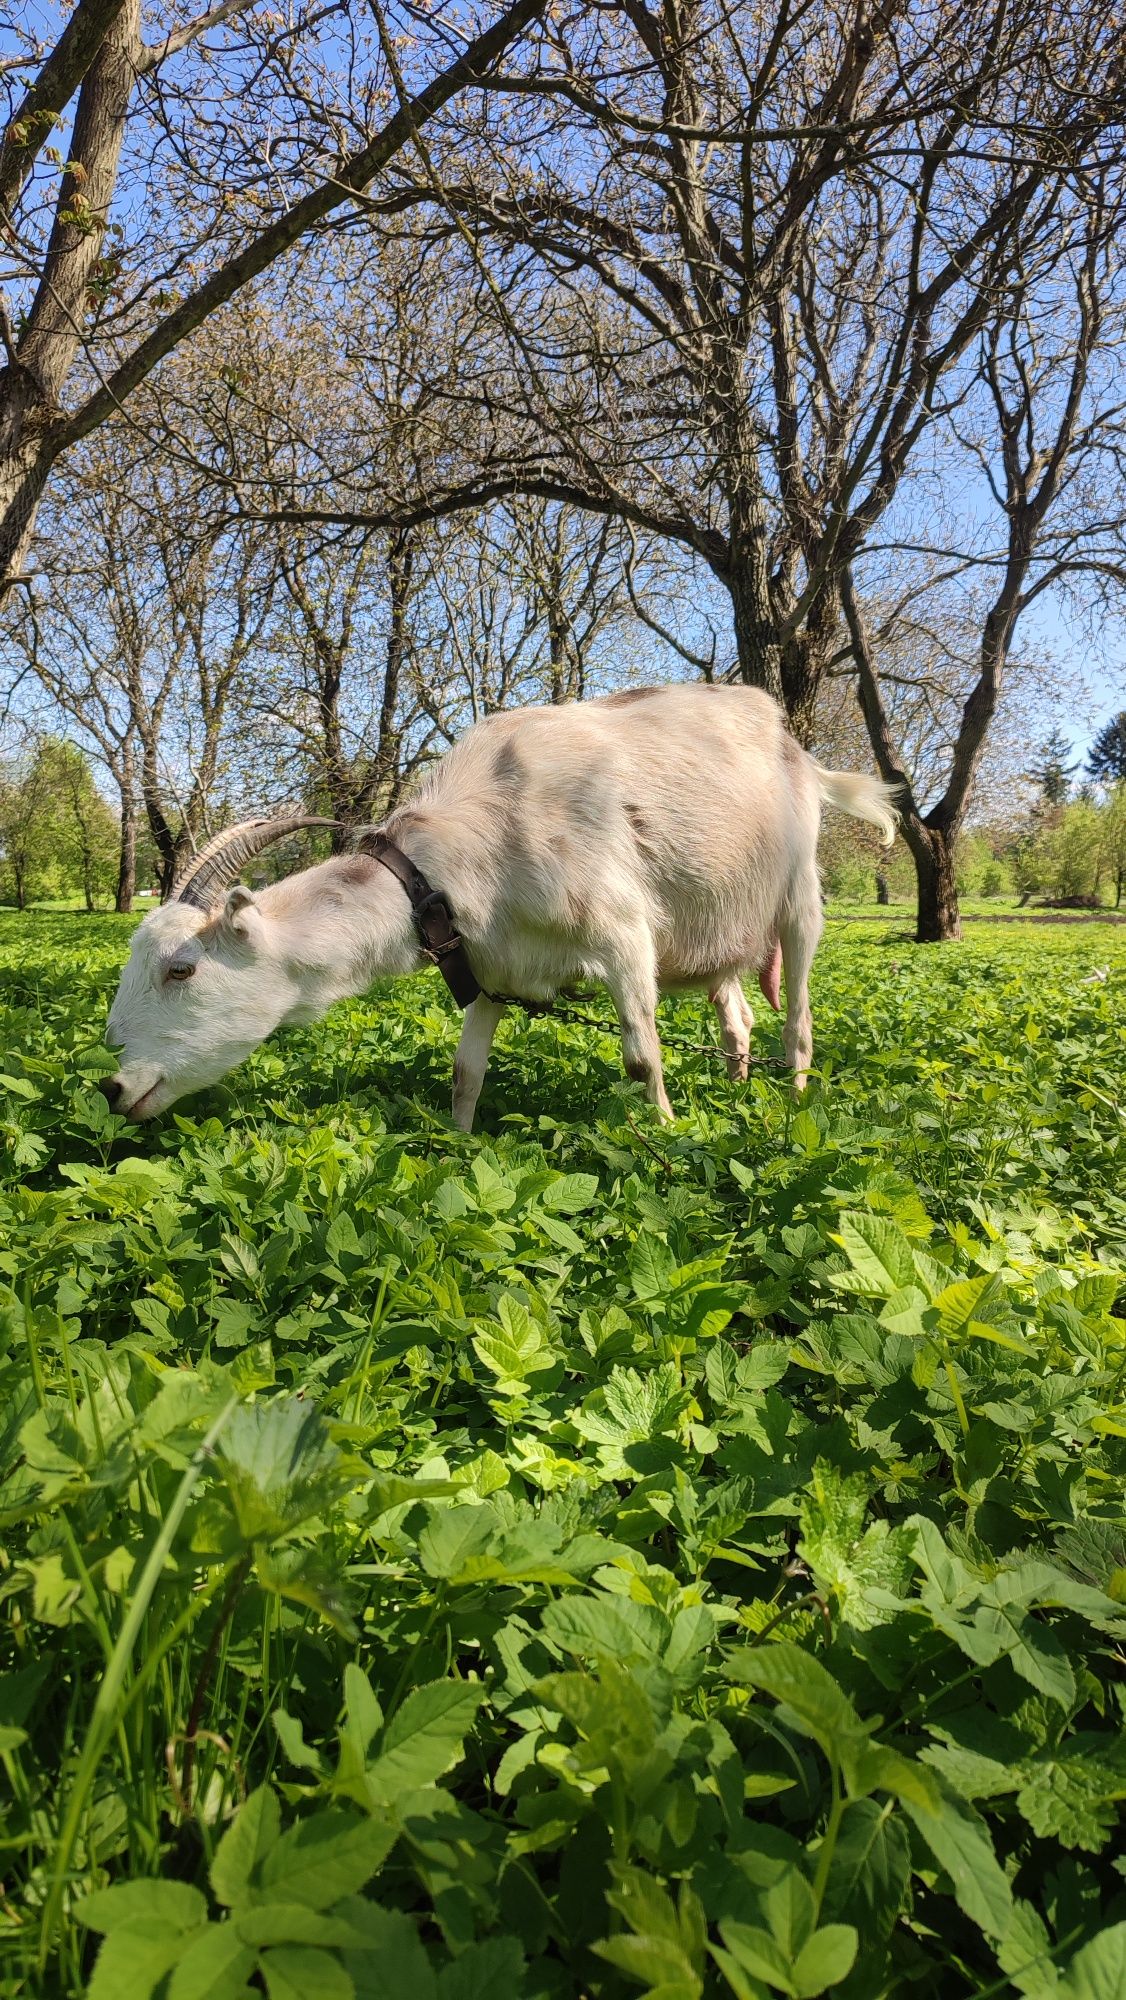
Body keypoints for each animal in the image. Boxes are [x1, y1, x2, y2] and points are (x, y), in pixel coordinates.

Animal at [103, 684, 900, 1128]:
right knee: (735, 1014)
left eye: (181, 969)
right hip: (718, 931)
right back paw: (736, 1085)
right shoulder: (488, 963)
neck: (485, 829)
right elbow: (465, 1073)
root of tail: (803, 757)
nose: (113, 1087)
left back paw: (792, 1105)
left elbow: (641, 1056)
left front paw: (669, 1133)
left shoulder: (623, 935)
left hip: (799, 898)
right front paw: (456, 1145)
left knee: (798, 1020)